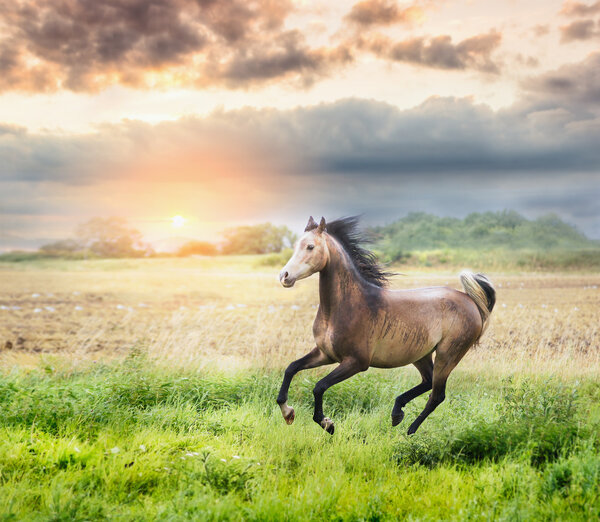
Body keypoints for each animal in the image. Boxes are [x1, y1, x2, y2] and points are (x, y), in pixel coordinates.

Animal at [276, 213, 496, 432]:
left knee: (437, 395)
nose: (284, 276)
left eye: (310, 246)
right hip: (421, 354)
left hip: (448, 355)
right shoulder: (325, 354)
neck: (345, 306)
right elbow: (291, 368)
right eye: (295, 246)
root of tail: (470, 300)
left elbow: (319, 386)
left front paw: (327, 423)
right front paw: (288, 413)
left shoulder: (356, 362)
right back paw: (397, 412)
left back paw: (409, 430)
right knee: (428, 381)